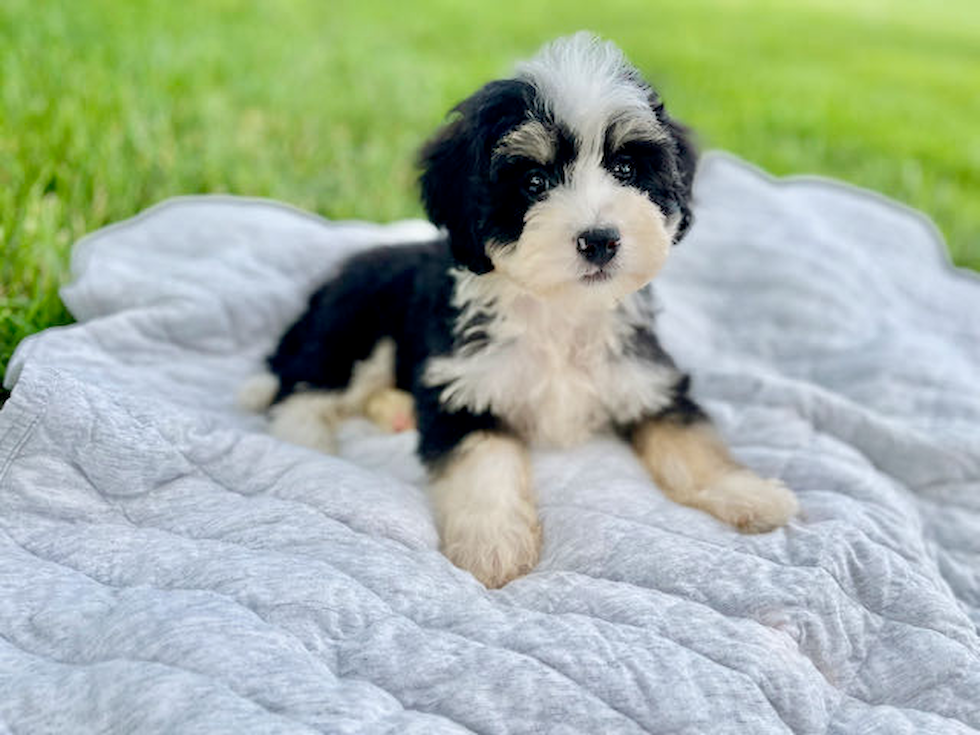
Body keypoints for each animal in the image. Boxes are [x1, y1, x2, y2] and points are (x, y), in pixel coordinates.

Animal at [241, 33, 800, 588]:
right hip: (355, 330)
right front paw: (493, 543)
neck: (558, 309)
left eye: (625, 169)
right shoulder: (463, 391)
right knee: (302, 389)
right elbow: (484, 463)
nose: (600, 240)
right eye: (534, 182)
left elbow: (692, 442)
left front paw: (748, 493)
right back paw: (308, 440)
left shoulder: (648, 379)